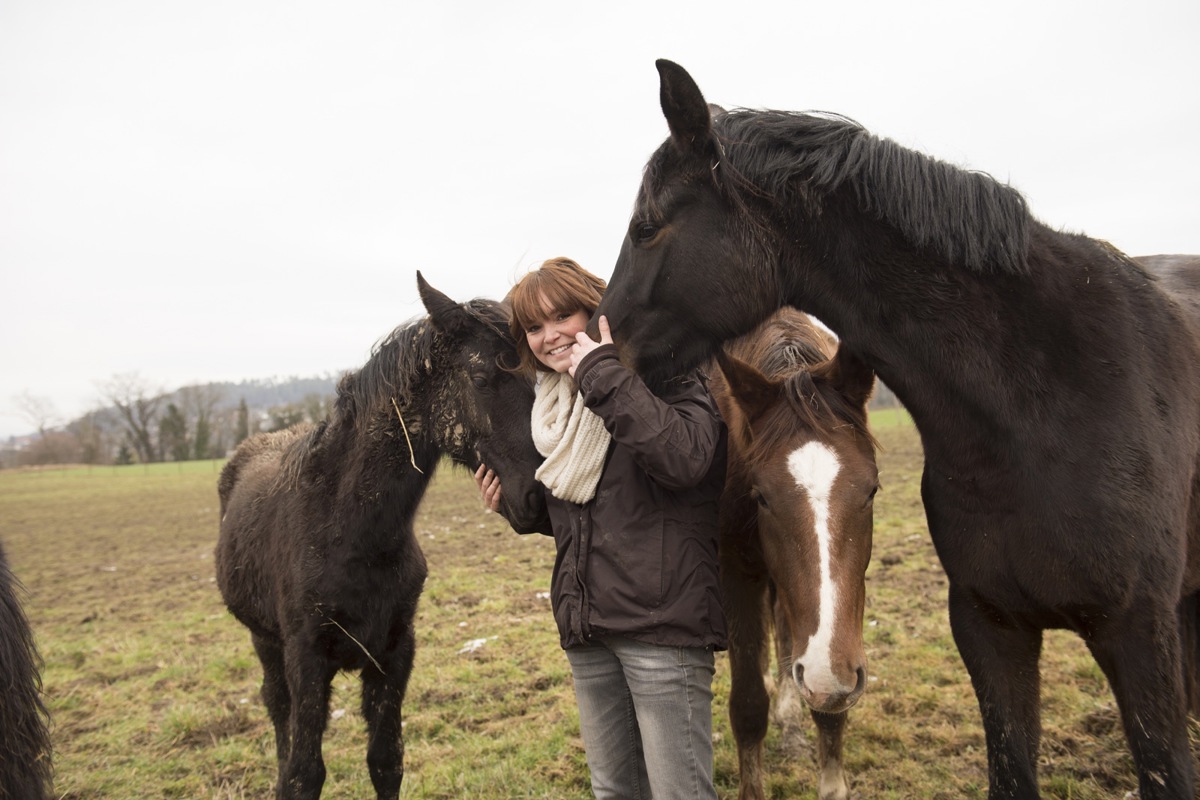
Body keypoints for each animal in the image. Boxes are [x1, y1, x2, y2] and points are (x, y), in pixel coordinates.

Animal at [218, 272, 547, 796]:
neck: (349, 533)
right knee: (276, 709)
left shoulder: (394, 654)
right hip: (264, 642)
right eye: (481, 379)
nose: (536, 496)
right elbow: (304, 773)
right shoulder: (306, 660)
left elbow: (386, 760)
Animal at [705, 309, 878, 800]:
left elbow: (830, 710)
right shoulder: (735, 571)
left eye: (872, 490)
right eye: (761, 496)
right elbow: (747, 704)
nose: (823, 676)